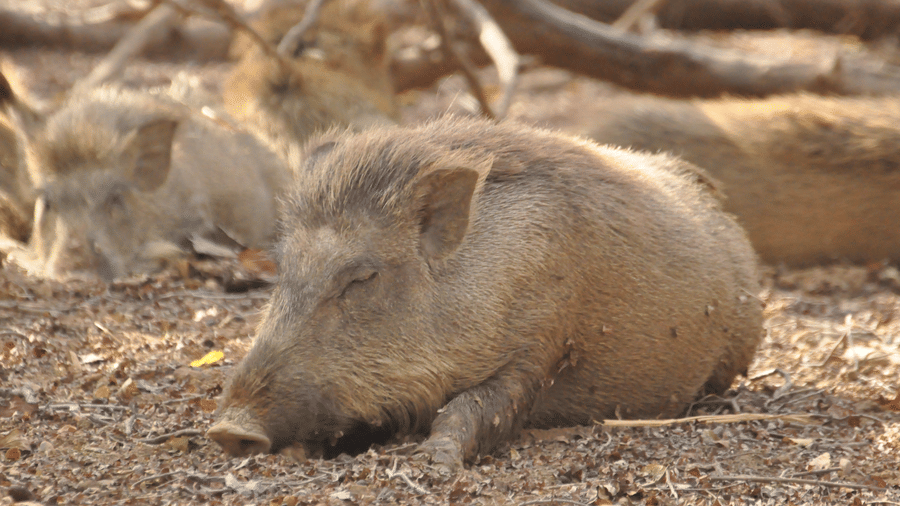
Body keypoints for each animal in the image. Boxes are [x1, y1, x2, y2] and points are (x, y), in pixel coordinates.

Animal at [208, 116, 763, 468]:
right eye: (283, 267)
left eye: (362, 277)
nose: (228, 430)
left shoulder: (540, 346)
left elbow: (471, 410)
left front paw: (435, 461)